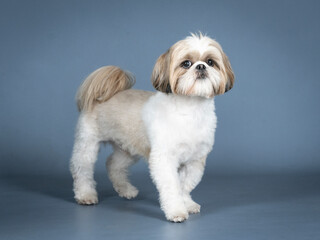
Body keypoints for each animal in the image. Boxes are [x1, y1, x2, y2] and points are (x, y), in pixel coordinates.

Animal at [70, 32, 234, 222]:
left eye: (210, 62)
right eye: (186, 63)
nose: (201, 66)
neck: (190, 110)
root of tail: (101, 96)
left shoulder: (195, 160)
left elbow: (185, 185)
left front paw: (187, 203)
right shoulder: (164, 159)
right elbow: (172, 187)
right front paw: (176, 211)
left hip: (129, 148)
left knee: (113, 164)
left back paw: (126, 190)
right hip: (87, 144)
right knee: (82, 170)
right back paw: (85, 195)